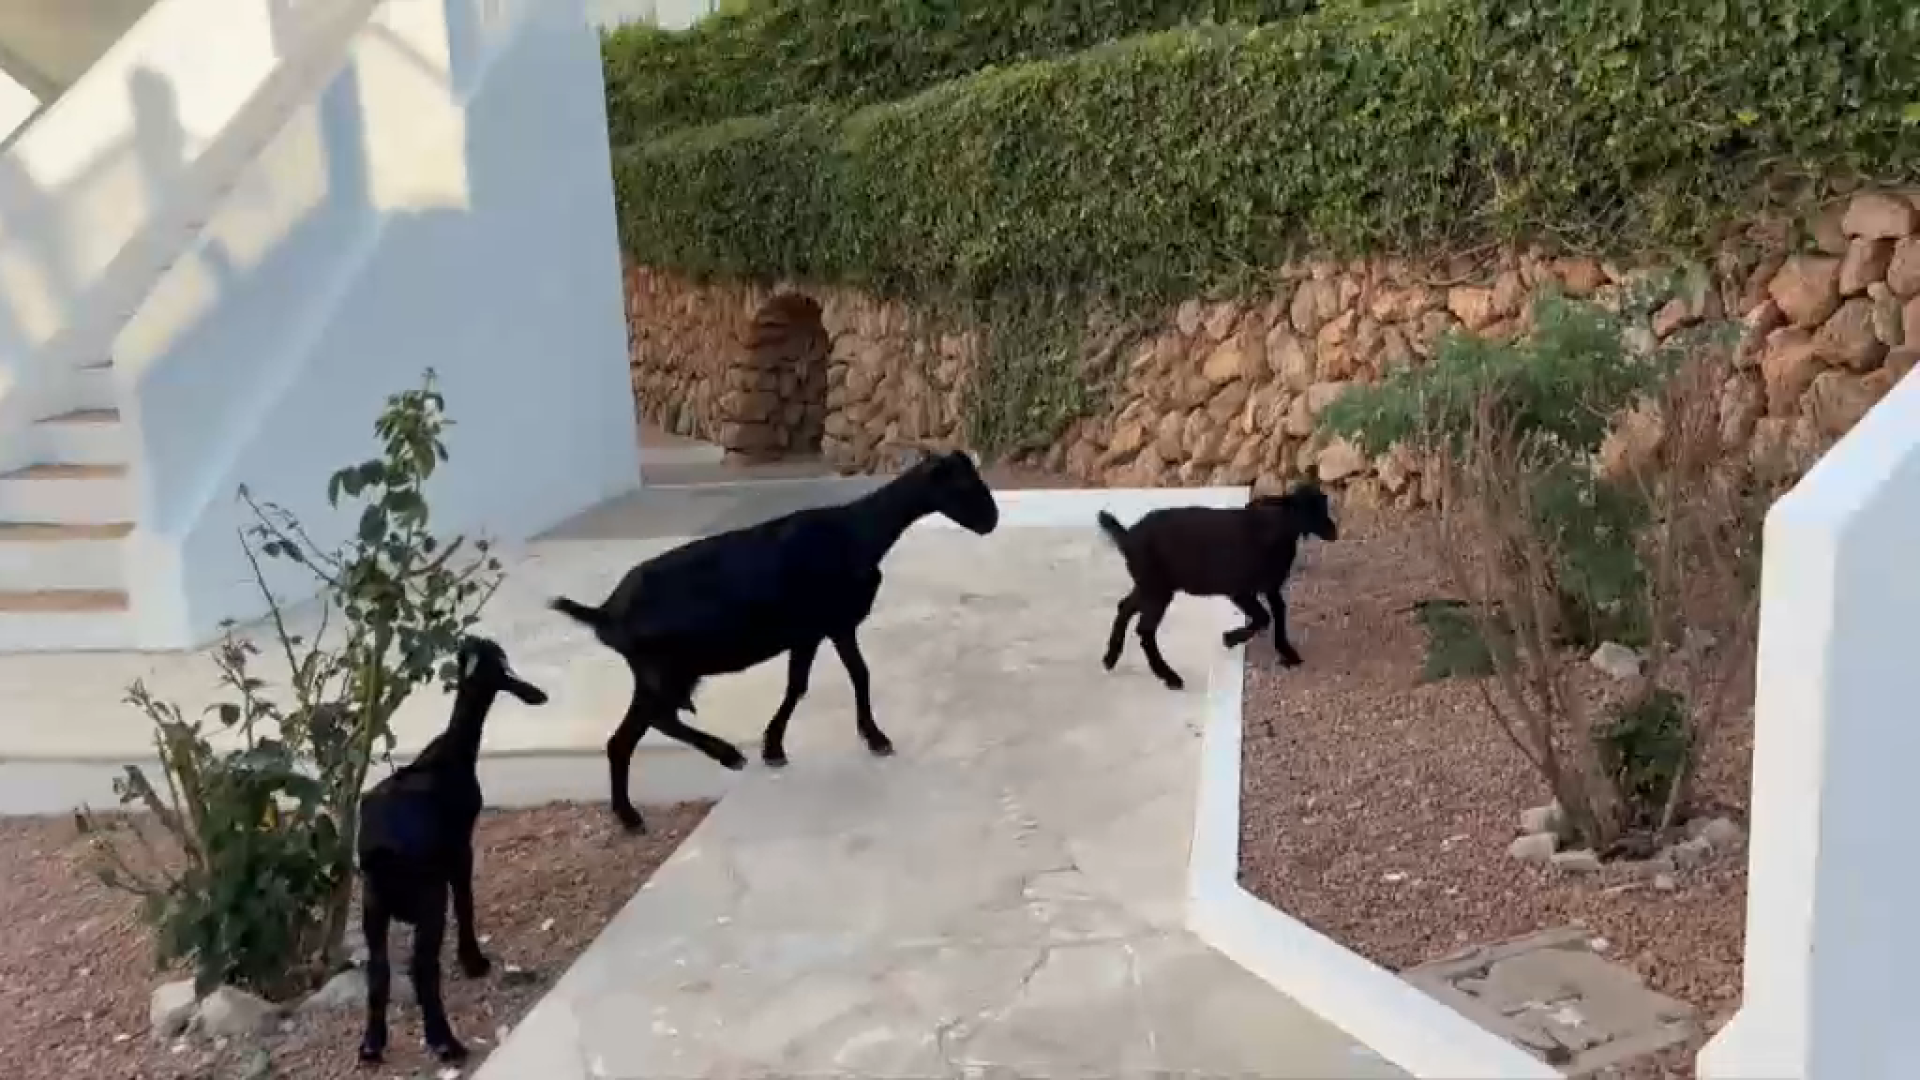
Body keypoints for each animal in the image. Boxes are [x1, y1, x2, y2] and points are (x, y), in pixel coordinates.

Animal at [356, 636, 547, 1066]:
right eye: (500, 665)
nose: (535, 693)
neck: (452, 751)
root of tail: (380, 851)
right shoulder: (461, 849)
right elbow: (466, 901)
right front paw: (474, 962)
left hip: (372, 904)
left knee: (379, 968)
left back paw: (372, 1045)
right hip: (428, 898)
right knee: (423, 968)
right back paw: (446, 1043)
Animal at [550, 449, 1000, 832]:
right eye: (961, 484)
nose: (991, 520)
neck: (856, 533)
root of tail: (604, 613)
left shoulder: (813, 632)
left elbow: (802, 684)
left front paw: (775, 747)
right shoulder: (833, 623)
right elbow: (855, 675)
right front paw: (875, 738)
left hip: (657, 672)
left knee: (627, 736)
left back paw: (631, 814)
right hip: (666, 669)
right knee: (652, 723)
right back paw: (724, 757)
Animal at [1096, 482, 1338, 690]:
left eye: (1323, 504)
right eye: (1308, 509)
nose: (1333, 532)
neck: (1276, 530)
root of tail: (1128, 537)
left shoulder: (1271, 587)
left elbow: (1277, 613)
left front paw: (1288, 652)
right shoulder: (1240, 591)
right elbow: (1263, 617)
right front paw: (1230, 638)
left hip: (1150, 586)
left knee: (1124, 606)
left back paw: (1110, 658)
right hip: (1157, 590)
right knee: (1144, 629)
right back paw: (1169, 676)